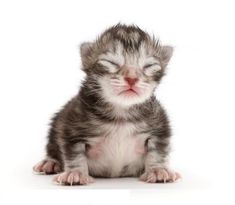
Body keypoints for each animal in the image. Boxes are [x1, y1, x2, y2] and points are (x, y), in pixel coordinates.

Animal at [32, 24, 180, 186]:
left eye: (149, 65)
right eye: (111, 62)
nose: (132, 78)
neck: (121, 113)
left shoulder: (159, 126)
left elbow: (158, 150)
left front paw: (158, 170)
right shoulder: (73, 126)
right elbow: (75, 153)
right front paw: (76, 173)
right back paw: (50, 163)